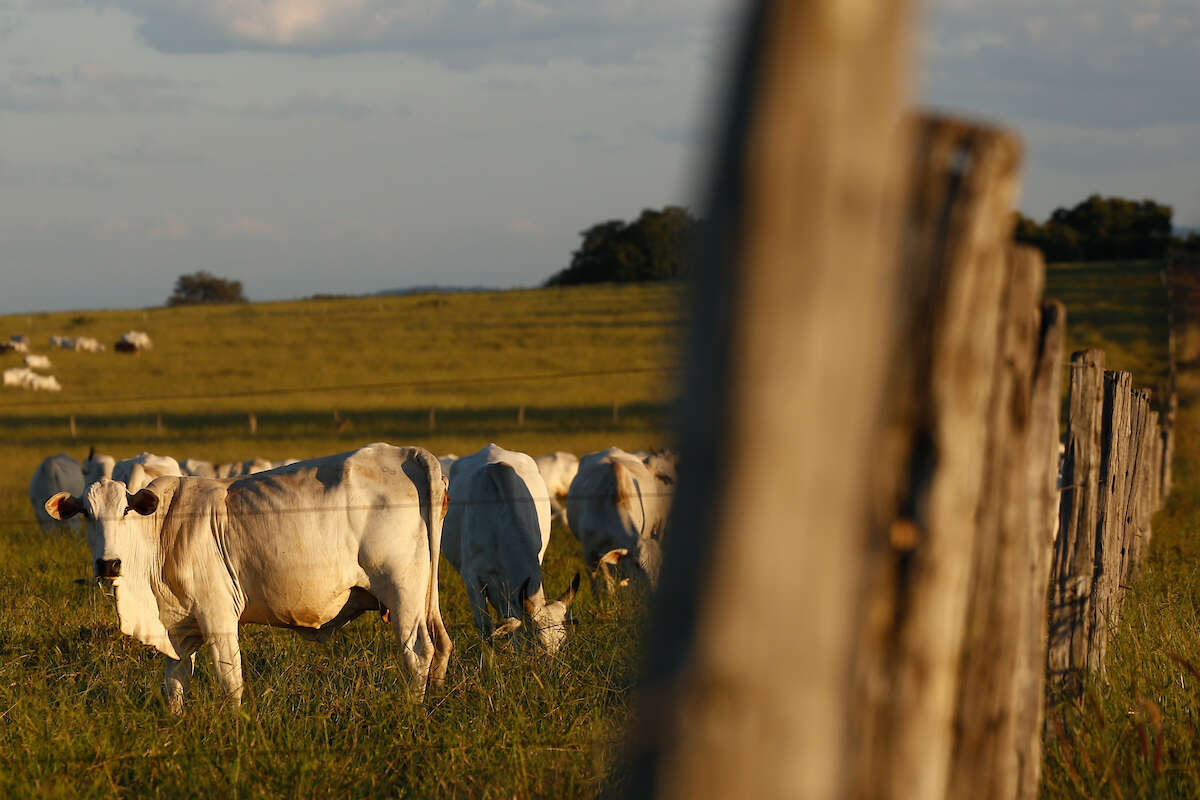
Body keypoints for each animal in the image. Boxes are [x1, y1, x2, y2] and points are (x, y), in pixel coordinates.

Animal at [43, 443, 451, 714]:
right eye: (86, 513)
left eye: (126, 511)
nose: (109, 564)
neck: (162, 532)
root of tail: (407, 453)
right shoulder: (179, 627)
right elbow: (174, 685)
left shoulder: (218, 616)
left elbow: (230, 681)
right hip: (423, 598)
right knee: (442, 644)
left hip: (402, 591)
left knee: (418, 651)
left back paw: (412, 713)